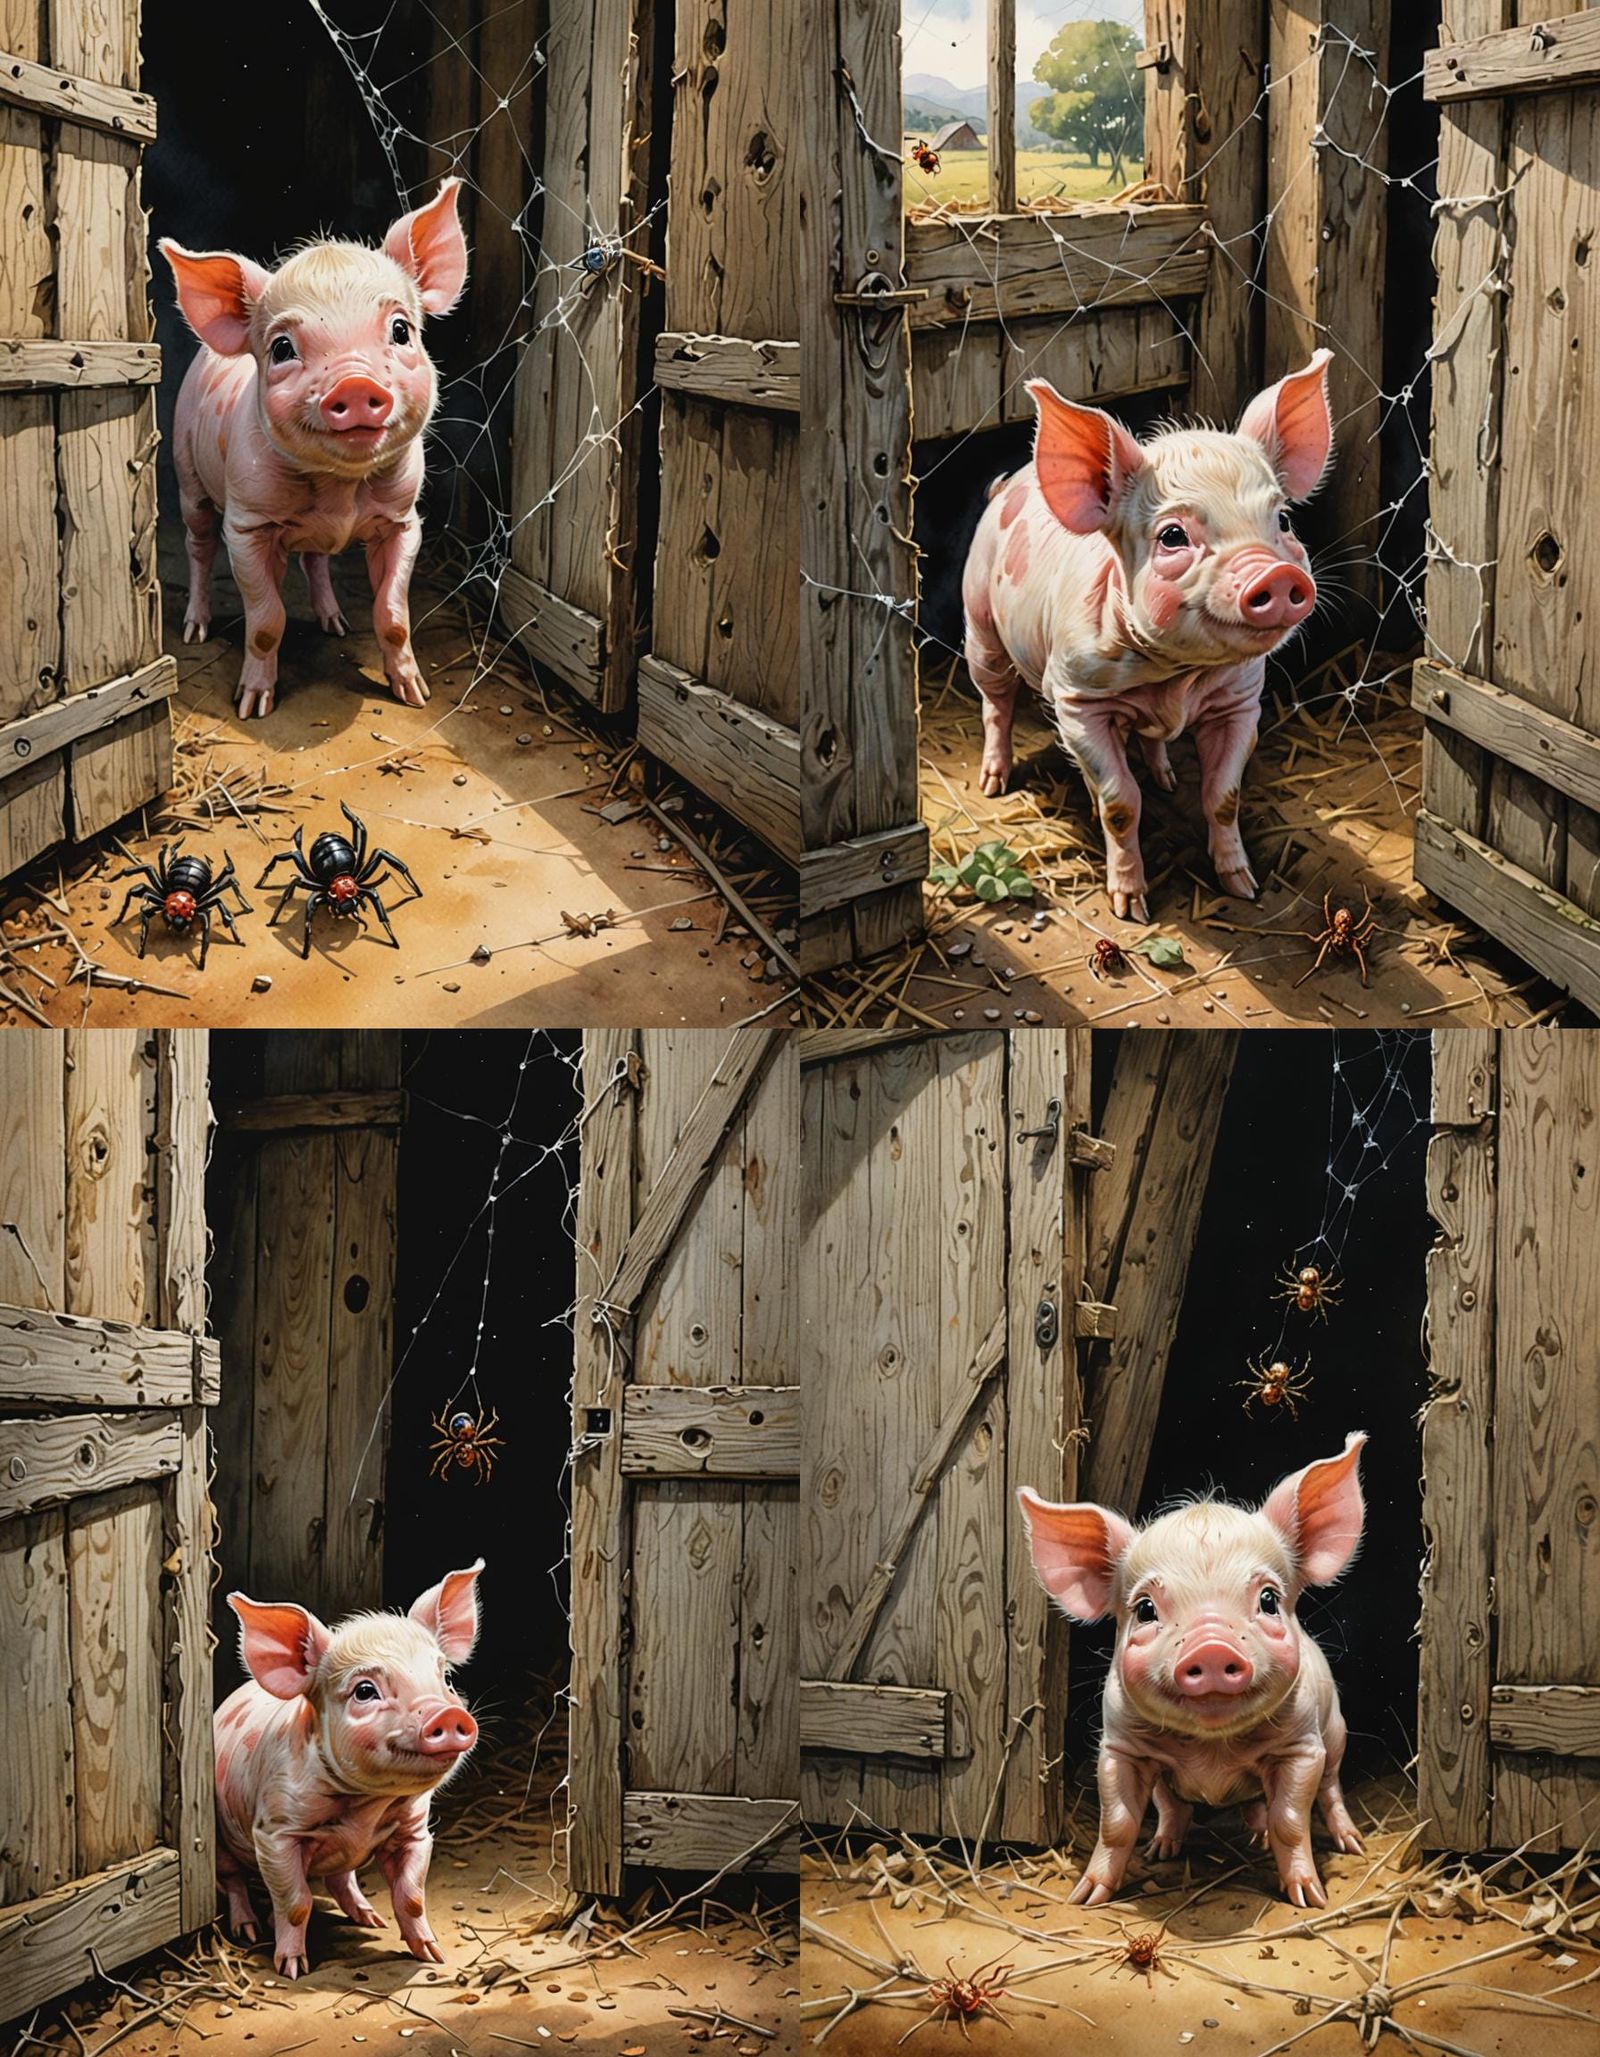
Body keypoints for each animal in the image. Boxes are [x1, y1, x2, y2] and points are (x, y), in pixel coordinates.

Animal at [160, 179, 469, 720]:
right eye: (282, 348)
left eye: (401, 330)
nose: (354, 383)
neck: (338, 492)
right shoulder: (245, 525)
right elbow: (266, 621)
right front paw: (253, 707)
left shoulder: (404, 520)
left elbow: (393, 615)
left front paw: (415, 696)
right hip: (188, 476)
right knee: (199, 546)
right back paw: (195, 630)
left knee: (314, 561)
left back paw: (336, 624)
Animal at [214, 1560, 484, 1978]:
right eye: (364, 1691)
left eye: (446, 1678)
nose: (447, 1713)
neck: (364, 1809)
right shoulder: (274, 1832)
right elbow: (296, 1902)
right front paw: (292, 1969)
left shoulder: (416, 1831)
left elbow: (412, 1898)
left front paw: (433, 1955)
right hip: (220, 1840)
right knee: (234, 1881)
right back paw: (248, 1929)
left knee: (342, 1878)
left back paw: (371, 1919)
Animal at [962, 350, 1334, 921]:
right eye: (1173, 536)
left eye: (1284, 520)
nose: (1274, 574)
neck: (1175, 676)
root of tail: (1009, 484)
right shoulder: (1075, 701)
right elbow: (1119, 804)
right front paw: (1131, 909)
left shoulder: (1240, 702)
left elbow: (1223, 796)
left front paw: (1243, 887)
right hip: (979, 623)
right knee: (996, 704)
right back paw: (995, 783)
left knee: (1151, 741)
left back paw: (1166, 778)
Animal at [1019, 1433, 1366, 1911]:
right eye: (1145, 1609)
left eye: (1268, 1599)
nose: (1213, 1645)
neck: (1210, 1750)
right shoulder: (1119, 1748)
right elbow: (1119, 1823)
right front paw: (1084, 1897)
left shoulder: (1302, 1748)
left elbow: (1290, 1819)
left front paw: (1309, 1897)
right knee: (1172, 1806)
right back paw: (1163, 1848)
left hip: (1336, 1733)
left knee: (1330, 1789)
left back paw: (1350, 1844)